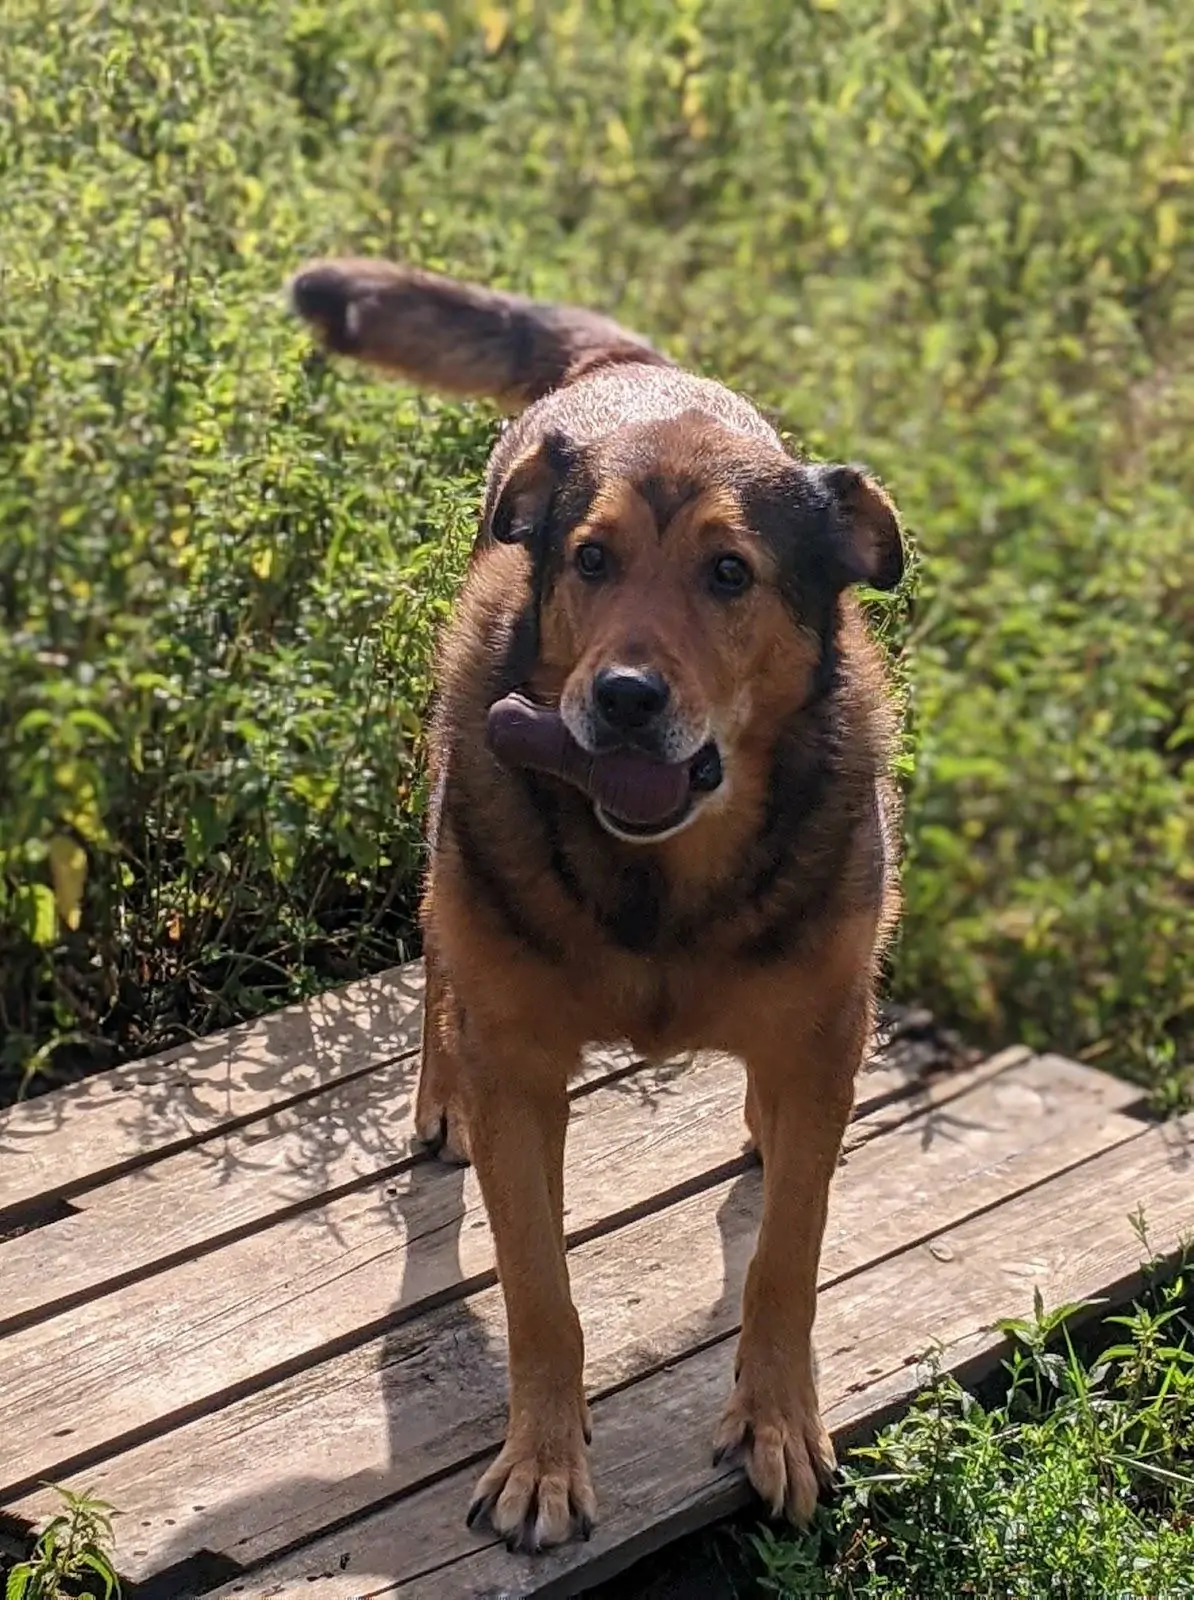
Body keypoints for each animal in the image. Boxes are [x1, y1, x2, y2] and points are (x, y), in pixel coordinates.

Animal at [291, 259, 902, 1548]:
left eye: (731, 573)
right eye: (589, 560)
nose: (621, 698)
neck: (659, 881)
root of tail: (626, 364)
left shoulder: (828, 1036)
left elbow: (786, 1258)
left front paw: (778, 1417)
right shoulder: (522, 1065)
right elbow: (540, 1290)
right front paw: (543, 1459)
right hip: (451, 838)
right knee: (440, 963)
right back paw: (440, 1093)